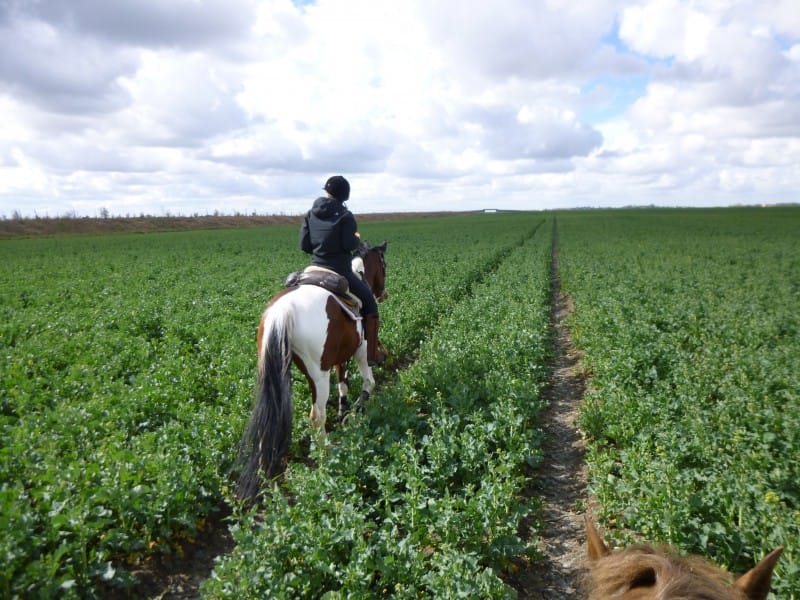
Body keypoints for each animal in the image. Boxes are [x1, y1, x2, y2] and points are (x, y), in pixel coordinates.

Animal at [238, 241, 388, 500]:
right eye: (383, 265)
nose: (383, 293)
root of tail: (282, 311)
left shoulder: (339, 356)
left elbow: (343, 382)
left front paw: (343, 411)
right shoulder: (361, 349)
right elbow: (369, 382)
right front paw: (354, 414)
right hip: (318, 374)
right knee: (317, 416)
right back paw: (326, 456)